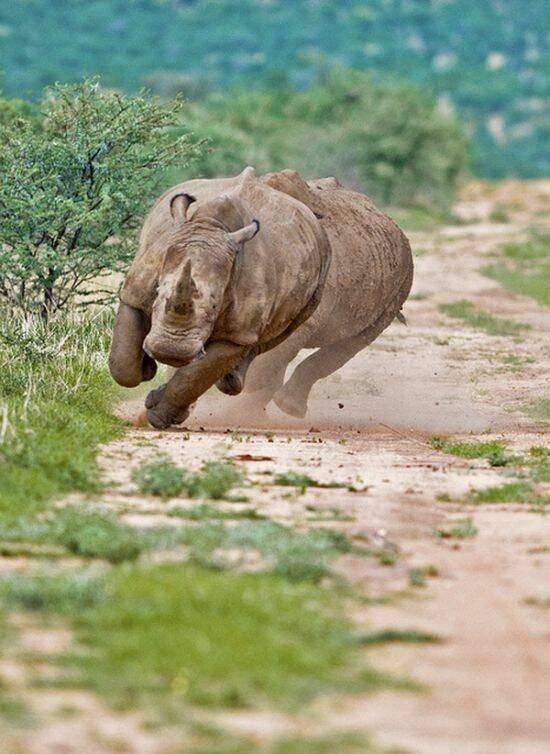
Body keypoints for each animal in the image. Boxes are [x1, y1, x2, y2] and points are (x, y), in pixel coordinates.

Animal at [108, 169, 332, 428]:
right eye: (156, 293)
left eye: (216, 305)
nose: (170, 351)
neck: (210, 227)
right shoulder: (134, 292)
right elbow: (122, 364)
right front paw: (146, 370)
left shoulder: (235, 333)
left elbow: (196, 375)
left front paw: (158, 417)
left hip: (321, 269)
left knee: (276, 334)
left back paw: (230, 380)